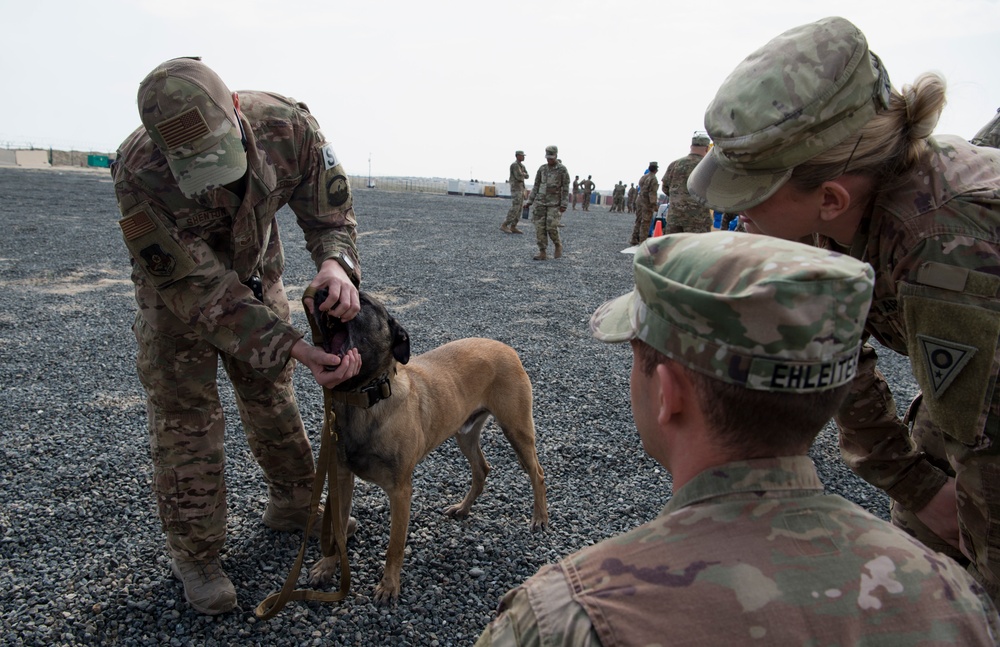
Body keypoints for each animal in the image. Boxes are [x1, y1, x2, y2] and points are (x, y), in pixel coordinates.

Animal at [308, 292, 552, 604]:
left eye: (362, 299)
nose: (320, 292)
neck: (363, 400)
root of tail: (506, 347)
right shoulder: (340, 477)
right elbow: (335, 529)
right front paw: (327, 567)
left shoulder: (400, 490)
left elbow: (395, 546)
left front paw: (389, 585)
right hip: (465, 433)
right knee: (482, 470)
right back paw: (462, 508)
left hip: (517, 430)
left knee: (537, 473)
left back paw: (540, 518)